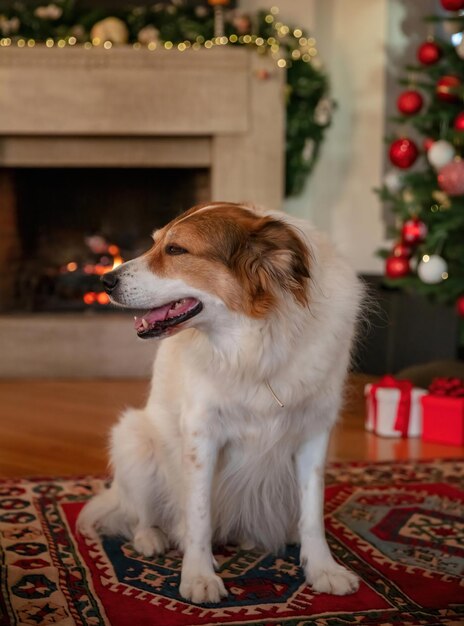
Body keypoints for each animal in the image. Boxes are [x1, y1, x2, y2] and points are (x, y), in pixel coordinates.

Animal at [78, 202, 364, 604]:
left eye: (176, 250)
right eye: (156, 243)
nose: (105, 281)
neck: (256, 341)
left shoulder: (313, 433)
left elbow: (312, 511)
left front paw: (323, 568)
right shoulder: (202, 435)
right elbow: (198, 514)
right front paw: (199, 574)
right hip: (134, 440)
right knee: (140, 513)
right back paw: (151, 538)